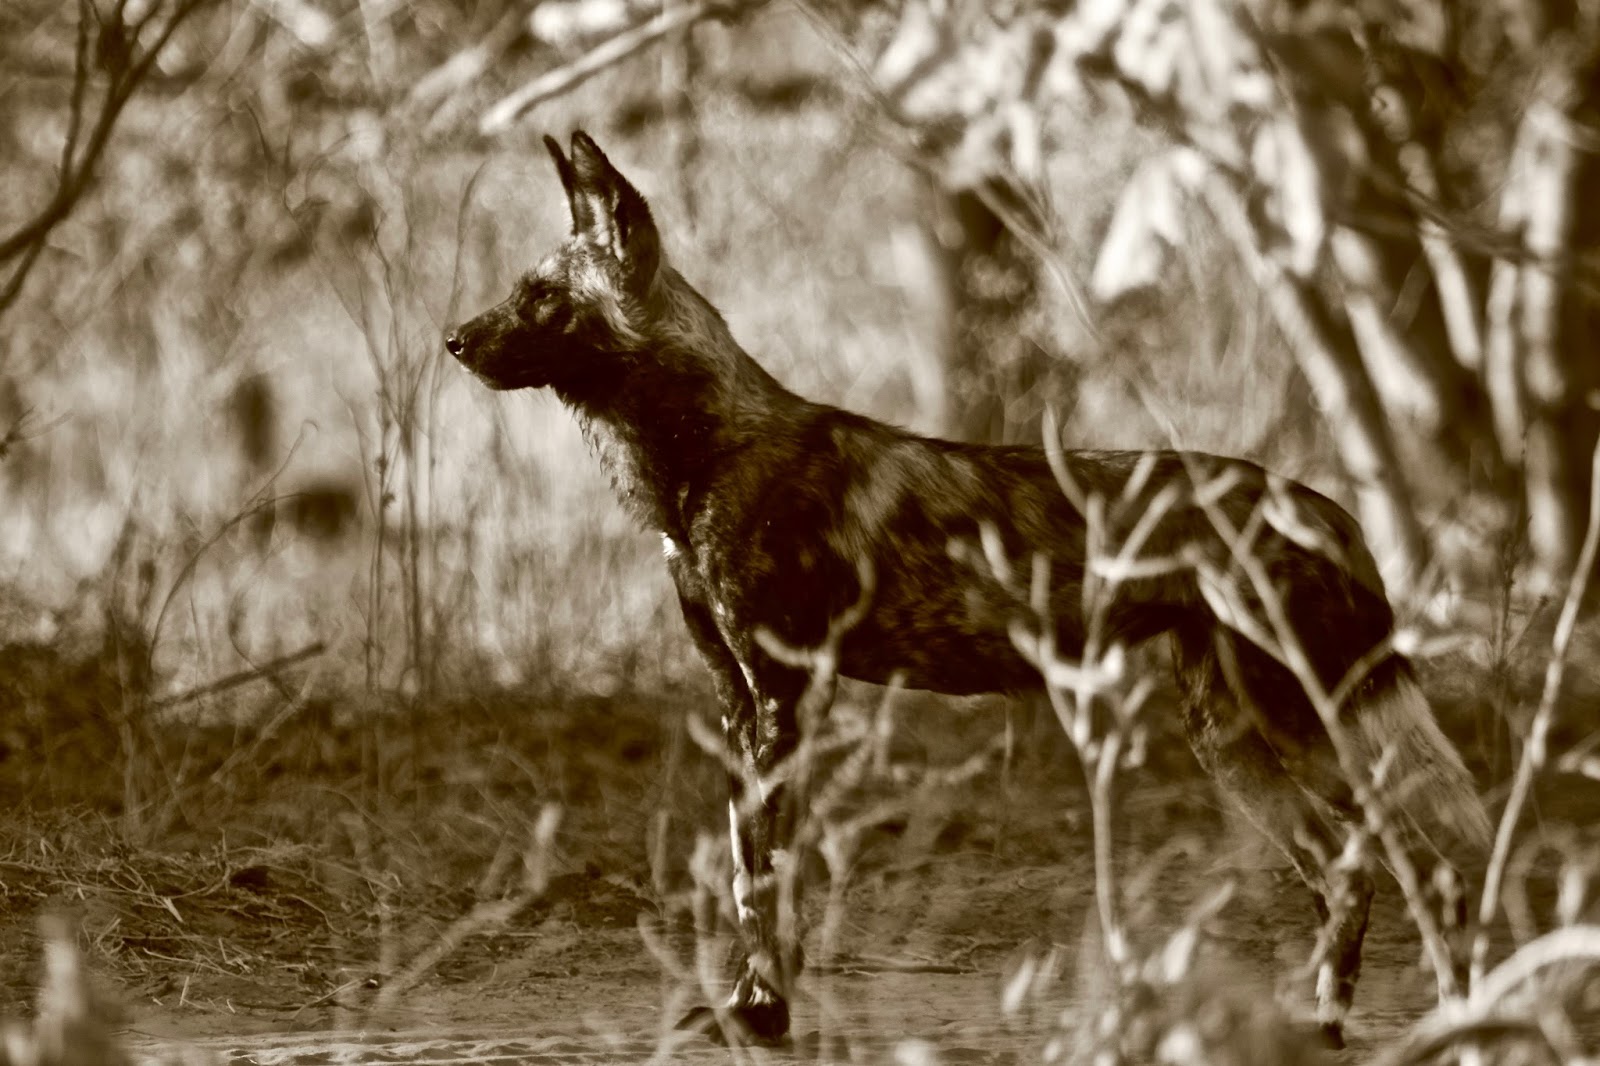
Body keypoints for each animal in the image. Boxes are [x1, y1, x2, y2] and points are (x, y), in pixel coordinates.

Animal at [446, 130, 1490, 1048]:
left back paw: (1459, 1023)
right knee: (1349, 874)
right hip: (1236, 739)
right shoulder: (741, 704)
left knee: (1425, 869)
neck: (703, 449)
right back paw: (1329, 1025)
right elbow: (747, 875)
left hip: (1308, 718)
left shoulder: (787, 699)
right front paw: (752, 1008)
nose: (453, 338)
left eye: (541, 298)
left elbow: (767, 880)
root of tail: (1328, 507)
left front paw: (767, 1015)